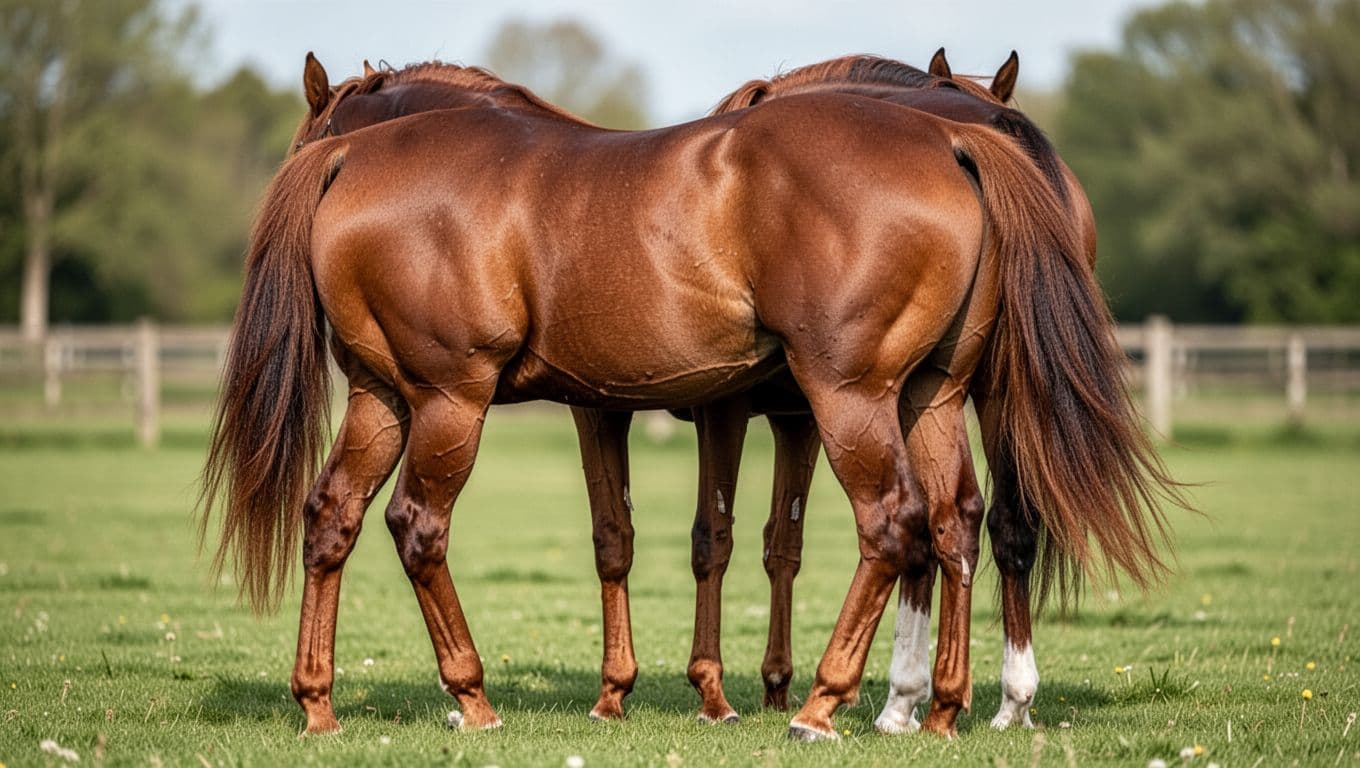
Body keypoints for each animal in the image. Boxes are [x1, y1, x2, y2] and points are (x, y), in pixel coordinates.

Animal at [201, 58, 1174, 742]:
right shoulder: (448, 396)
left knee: (898, 523)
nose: (300, 160)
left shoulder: (491, 396)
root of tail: (957, 140)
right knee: (954, 523)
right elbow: (645, 539)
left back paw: (825, 705)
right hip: (929, 397)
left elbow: (695, 540)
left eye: (302, 127)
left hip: (849, 397)